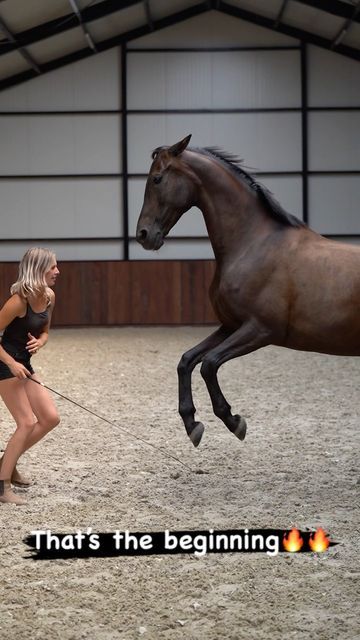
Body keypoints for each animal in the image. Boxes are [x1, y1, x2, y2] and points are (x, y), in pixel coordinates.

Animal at [136, 133, 360, 448]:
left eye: (157, 178)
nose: (143, 235)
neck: (253, 242)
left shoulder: (261, 329)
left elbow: (208, 364)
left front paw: (234, 421)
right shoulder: (231, 325)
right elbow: (187, 361)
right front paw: (192, 424)